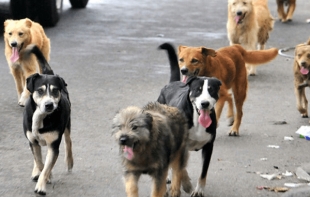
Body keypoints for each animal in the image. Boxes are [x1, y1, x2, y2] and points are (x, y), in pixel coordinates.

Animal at [22, 45, 73, 195]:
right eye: (40, 90)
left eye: (55, 90)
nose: (49, 104)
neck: (41, 117)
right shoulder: (32, 141)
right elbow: (40, 162)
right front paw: (46, 175)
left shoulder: (53, 145)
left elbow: (46, 166)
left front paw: (41, 186)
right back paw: (35, 172)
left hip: (67, 124)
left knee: (68, 141)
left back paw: (69, 161)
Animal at [157, 43, 220, 197]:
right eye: (198, 90)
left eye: (211, 90)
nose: (205, 103)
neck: (197, 120)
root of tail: (173, 83)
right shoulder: (181, 144)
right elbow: (181, 169)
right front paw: (185, 184)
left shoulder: (209, 146)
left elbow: (203, 172)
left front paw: (198, 190)